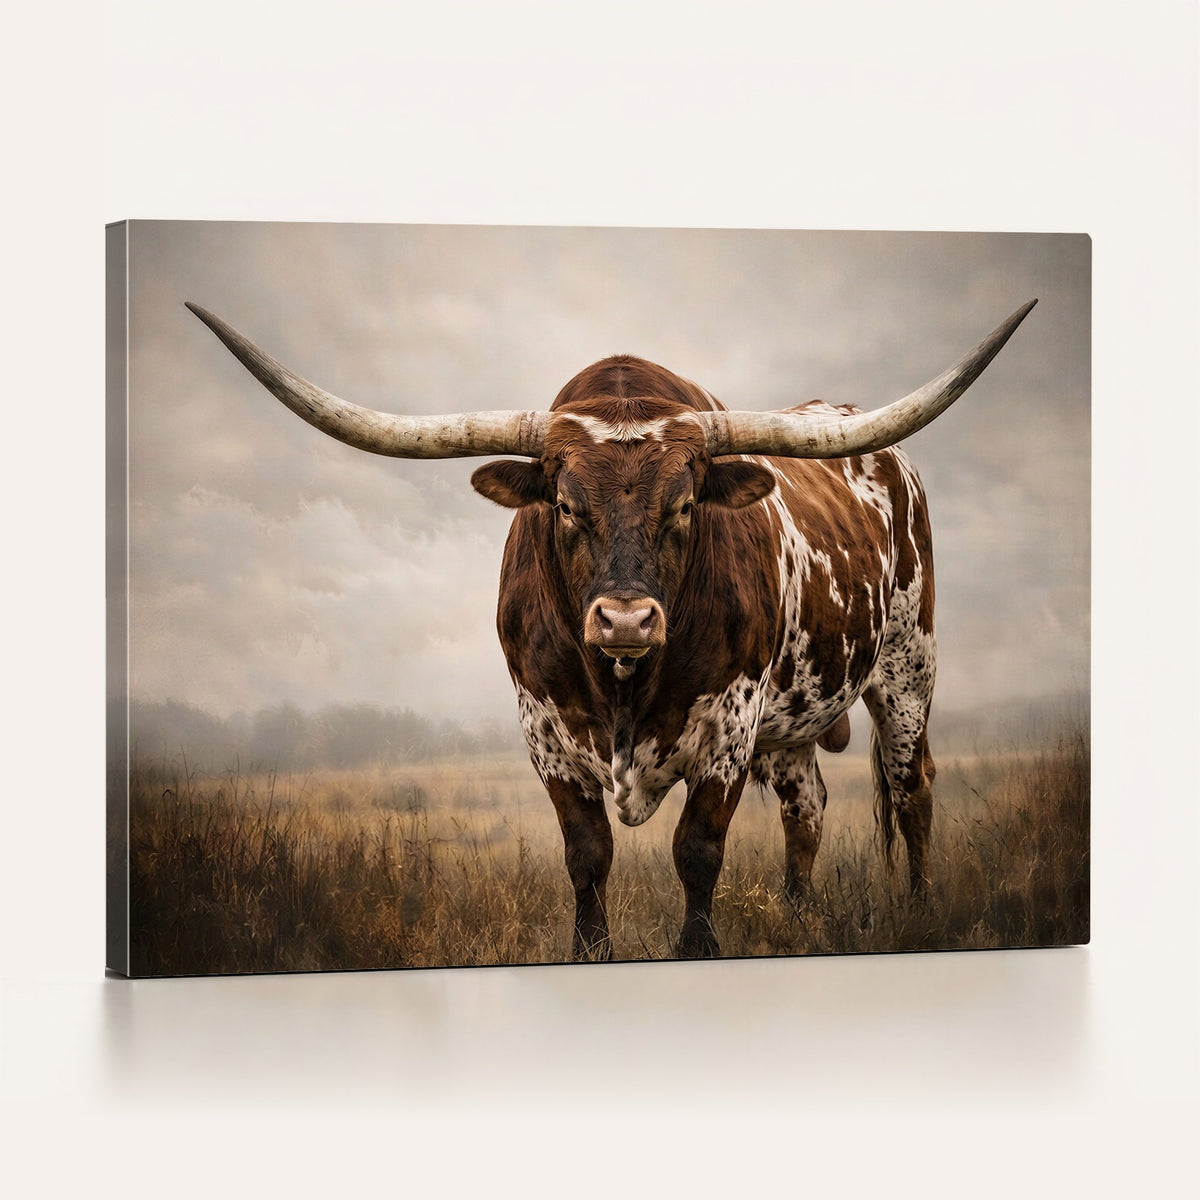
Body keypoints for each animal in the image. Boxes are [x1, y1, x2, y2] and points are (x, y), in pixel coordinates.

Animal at [188, 298, 1036, 959]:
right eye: (565, 506)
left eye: (685, 505)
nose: (626, 618)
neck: (625, 683)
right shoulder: (544, 732)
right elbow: (587, 856)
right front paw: (589, 952)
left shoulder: (729, 729)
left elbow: (697, 852)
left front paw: (699, 949)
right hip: (796, 718)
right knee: (808, 808)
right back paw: (798, 920)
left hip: (907, 669)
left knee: (911, 786)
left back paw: (918, 912)